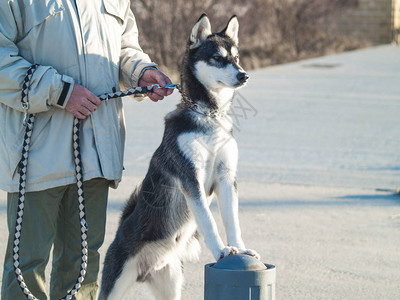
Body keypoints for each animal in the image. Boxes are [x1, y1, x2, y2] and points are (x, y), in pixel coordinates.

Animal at [99, 14, 260, 300]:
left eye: (236, 58)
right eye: (217, 58)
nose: (244, 75)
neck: (209, 116)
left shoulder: (226, 178)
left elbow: (233, 222)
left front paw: (240, 248)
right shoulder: (191, 180)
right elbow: (208, 221)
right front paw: (221, 251)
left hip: (171, 283)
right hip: (115, 283)